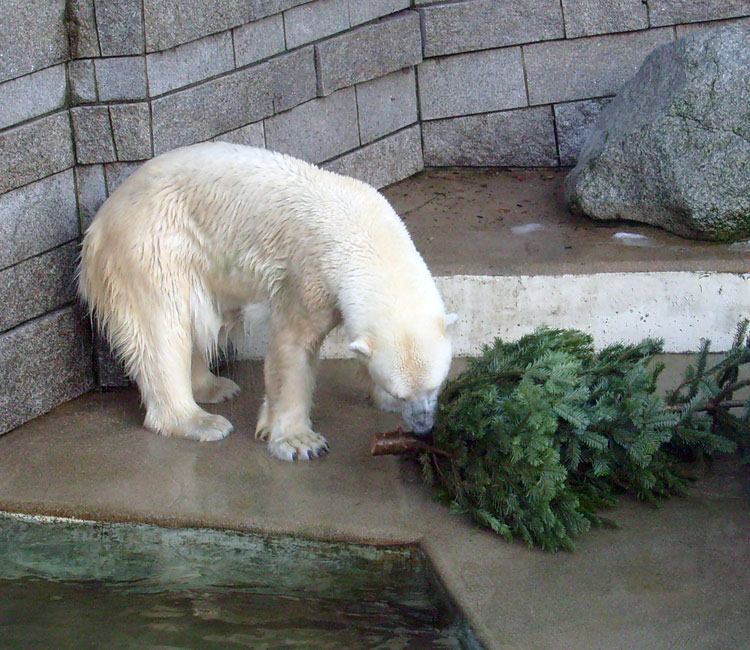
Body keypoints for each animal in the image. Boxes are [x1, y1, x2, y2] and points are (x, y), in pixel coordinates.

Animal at [81, 140, 458, 460]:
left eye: (436, 385)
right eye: (402, 393)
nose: (423, 428)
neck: (364, 231)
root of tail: (99, 222)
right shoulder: (310, 275)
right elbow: (292, 348)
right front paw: (299, 441)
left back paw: (215, 386)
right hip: (152, 247)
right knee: (162, 330)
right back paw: (198, 420)